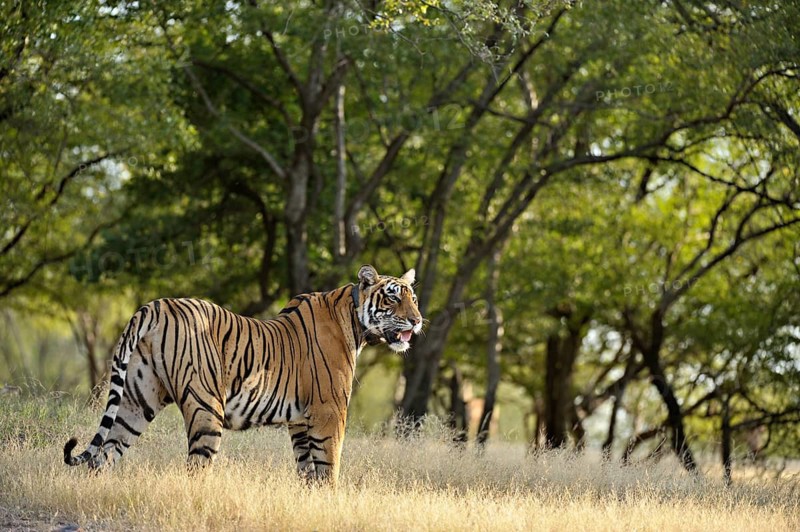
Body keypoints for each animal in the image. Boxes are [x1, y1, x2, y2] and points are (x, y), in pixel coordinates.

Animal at [63, 265, 422, 485]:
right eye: (392, 296)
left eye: (414, 298)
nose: (417, 320)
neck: (355, 322)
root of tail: (155, 305)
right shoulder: (328, 412)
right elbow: (328, 468)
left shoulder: (300, 421)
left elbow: (307, 471)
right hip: (207, 407)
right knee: (195, 467)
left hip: (137, 401)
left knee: (102, 456)